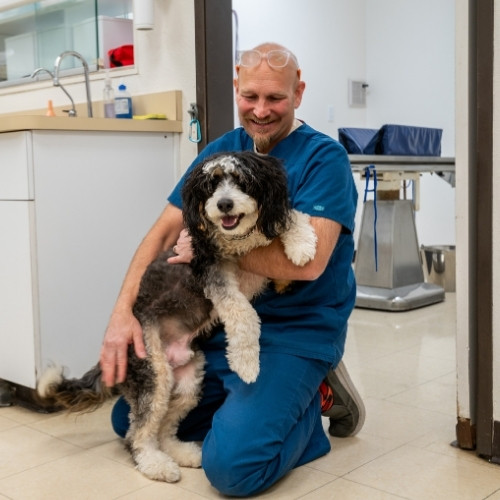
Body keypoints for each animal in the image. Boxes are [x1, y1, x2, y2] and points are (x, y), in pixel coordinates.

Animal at [38, 150, 316, 482]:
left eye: (240, 180)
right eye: (211, 184)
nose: (224, 204)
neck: (236, 239)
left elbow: (290, 219)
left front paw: (300, 247)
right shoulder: (211, 271)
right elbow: (243, 314)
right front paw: (246, 363)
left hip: (187, 384)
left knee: (165, 428)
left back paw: (183, 453)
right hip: (153, 373)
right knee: (138, 434)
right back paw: (156, 464)